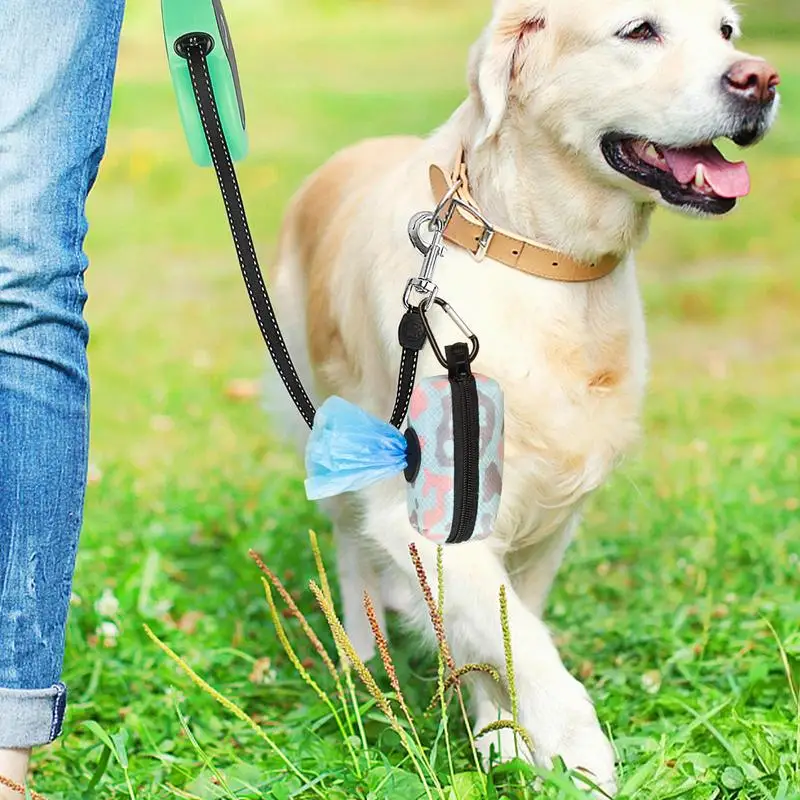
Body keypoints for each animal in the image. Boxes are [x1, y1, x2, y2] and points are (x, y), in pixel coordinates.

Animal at [268, 0, 776, 792]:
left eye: (727, 32)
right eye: (640, 31)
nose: (761, 79)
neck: (545, 262)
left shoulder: (548, 514)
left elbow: (504, 633)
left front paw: (503, 734)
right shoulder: (421, 514)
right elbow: (528, 650)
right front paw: (581, 759)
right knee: (350, 550)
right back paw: (361, 655)